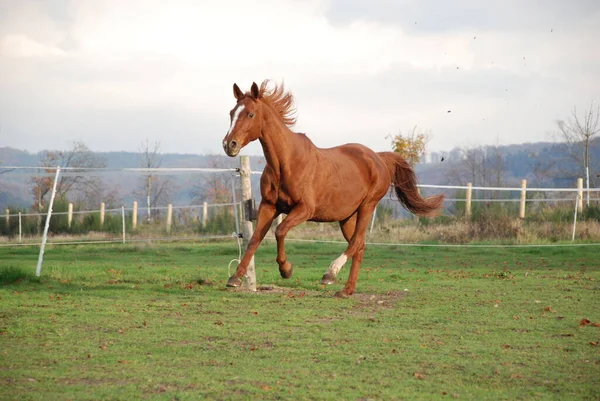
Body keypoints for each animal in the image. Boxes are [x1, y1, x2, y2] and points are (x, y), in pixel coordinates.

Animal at [221, 80, 446, 296]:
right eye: (232, 113)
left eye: (250, 114)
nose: (229, 144)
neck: (287, 163)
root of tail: (379, 158)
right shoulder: (269, 206)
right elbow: (254, 240)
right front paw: (235, 278)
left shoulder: (304, 209)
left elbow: (280, 231)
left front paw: (286, 270)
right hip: (347, 217)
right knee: (359, 246)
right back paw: (346, 291)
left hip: (367, 206)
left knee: (356, 243)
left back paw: (330, 274)